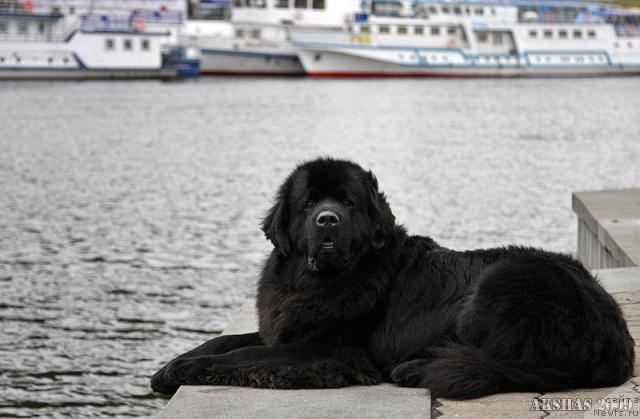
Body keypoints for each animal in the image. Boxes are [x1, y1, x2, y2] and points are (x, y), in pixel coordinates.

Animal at [151, 158, 636, 400]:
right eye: (308, 204)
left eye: (347, 202)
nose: (328, 220)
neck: (322, 281)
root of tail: (616, 333)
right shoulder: (286, 327)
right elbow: (228, 341)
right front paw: (169, 367)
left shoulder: (331, 350)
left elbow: (247, 354)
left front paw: (189, 370)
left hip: (502, 282)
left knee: (506, 364)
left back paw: (416, 368)